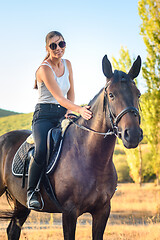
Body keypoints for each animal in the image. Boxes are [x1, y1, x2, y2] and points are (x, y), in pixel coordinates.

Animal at [0, 55, 142, 239]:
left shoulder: (103, 210)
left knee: (13, 229)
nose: (132, 135)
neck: (92, 159)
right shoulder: (69, 212)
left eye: (138, 94)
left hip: (21, 201)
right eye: (111, 95)